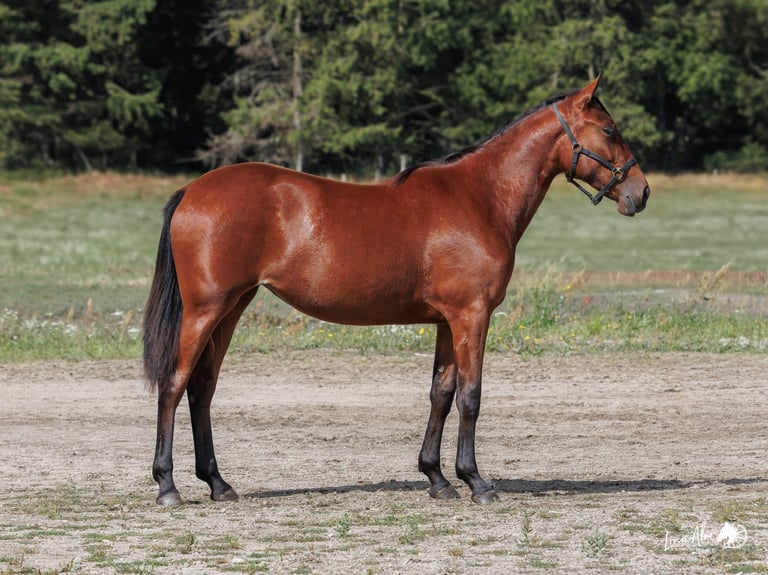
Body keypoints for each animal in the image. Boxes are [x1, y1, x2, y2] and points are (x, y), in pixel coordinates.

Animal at [143, 75, 650, 506]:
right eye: (610, 128)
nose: (641, 192)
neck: (480, 197)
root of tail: (192, 191)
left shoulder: (447, 321)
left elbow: (441, 393)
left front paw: (438, 478)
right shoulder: (472, 315)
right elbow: (471, 395)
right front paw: (476, 481)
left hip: (232, 309)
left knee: (202, 389)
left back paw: (217, 482)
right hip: (205, 310)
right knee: (174, 384)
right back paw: (168, 485)